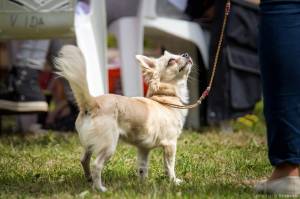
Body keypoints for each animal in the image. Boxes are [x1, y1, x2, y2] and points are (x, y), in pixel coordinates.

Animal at [55, 44, 192, 191]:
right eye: (171, 60)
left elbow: (142, 167)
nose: (186, 54)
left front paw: (143, 184)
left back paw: (89, 179)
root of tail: (92, 103)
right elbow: (169, 166)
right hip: (109, 145)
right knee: (96, 165)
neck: (164, 99)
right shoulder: (170, 144)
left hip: (91, 144)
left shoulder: (144, 148)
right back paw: (100, 188)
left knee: (84, 160)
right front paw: (174, 181)